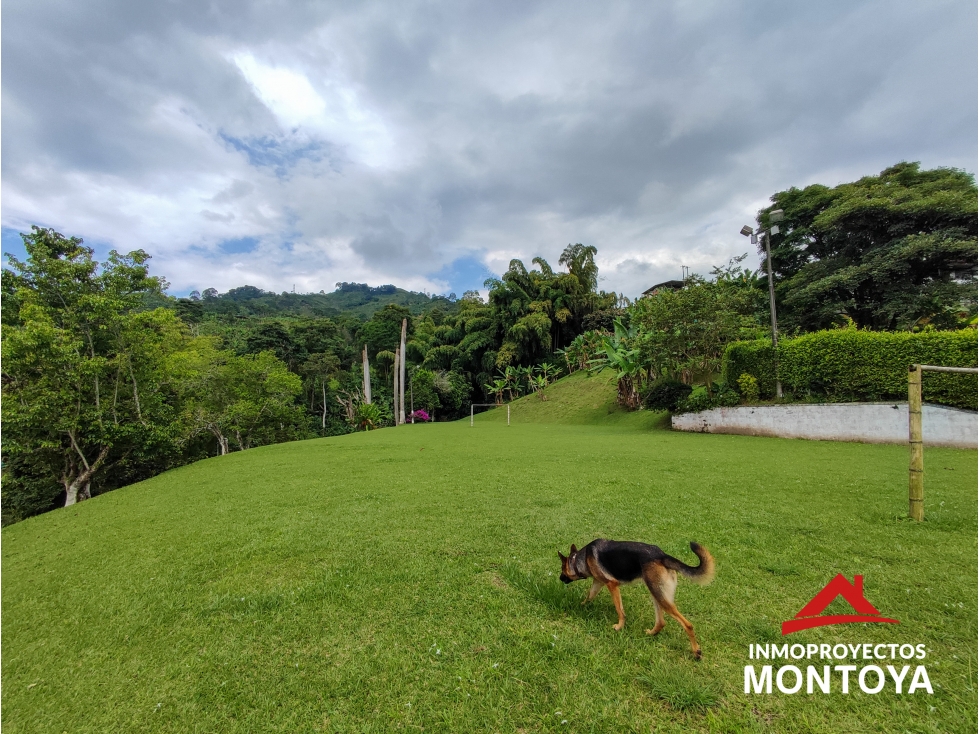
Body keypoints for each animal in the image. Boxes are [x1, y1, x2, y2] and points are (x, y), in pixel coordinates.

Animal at [560, 540, 712, 660]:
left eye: (562, 569)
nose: (560, 578)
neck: (581, 559)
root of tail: (662, 556)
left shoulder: (612, 585)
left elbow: (620, 610)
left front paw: (619, 627)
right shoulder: (598, 583)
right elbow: (589, 596)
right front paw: (580, 606)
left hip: (660, 597)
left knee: (688, 625)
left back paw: (696, 652)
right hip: (656, 594)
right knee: (661, 622)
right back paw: (651, 633)